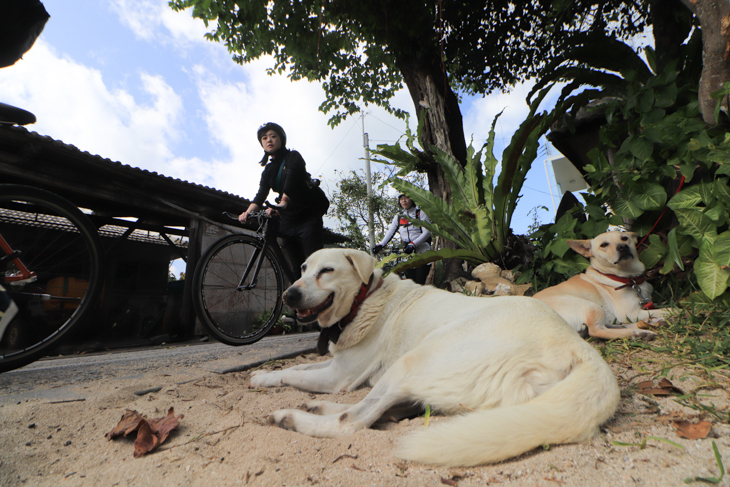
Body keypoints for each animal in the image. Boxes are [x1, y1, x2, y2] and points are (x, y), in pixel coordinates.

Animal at [247, 250, 616, 468]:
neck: (364, 300)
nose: (288, 294)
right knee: (382, 408)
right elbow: (300, 366)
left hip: (417, 356)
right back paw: (315, 407)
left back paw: (290, 418)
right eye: (303, 269)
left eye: (326, 271)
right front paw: (267, 378)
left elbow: (293, 372)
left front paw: (263, 379)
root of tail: (577, 347)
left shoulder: (339, 375)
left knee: (353, 421)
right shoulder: (335, 367)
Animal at [532, 232, 668, 340]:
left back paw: (650, 323)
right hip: (591, 306)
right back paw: (638, 332)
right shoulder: (631, 313)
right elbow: (666, 309)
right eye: (603, 245)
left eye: (624, 238)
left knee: (612, 326)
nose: (623, 246)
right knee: (597, 331)